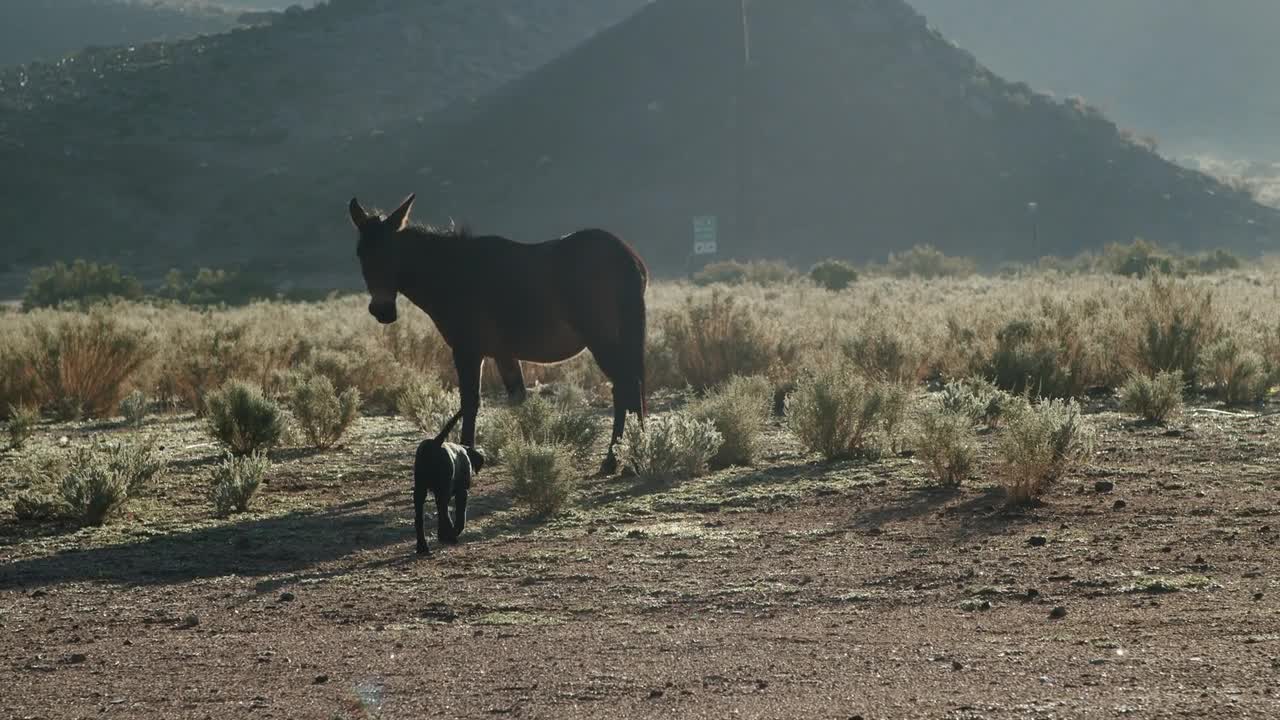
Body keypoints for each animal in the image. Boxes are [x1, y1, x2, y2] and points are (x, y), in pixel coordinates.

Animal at [348, 193, 650, 474]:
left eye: (392, 252)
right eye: (360, 253)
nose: (382, 310)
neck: (451, 274)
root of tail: (628, 258)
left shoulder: (467, 349)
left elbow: (471, 402)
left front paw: (470, 455)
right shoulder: (503, 354)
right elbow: (517, 398)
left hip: (601, 338)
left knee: (625, 385)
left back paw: (622, 459)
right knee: (627, 386)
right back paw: (627, 456)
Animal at [412, 407, 486, 550]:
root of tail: (435, 443)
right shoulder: (462, 491)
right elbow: (460, 515)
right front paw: (451, 532)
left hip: (420, 488)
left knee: (420, 517)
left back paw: (422, 546)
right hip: (443, 488)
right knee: (443, 511)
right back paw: (451, 535)